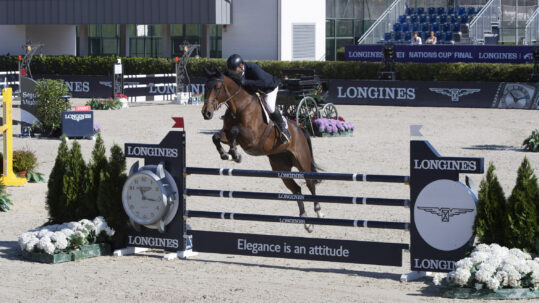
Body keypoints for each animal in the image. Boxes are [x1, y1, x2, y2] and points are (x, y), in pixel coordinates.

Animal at [201, 69, 322, 233]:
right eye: (205, 87)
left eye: (218, 88)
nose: (206, 113)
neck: (239, 107)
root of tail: (301, 130)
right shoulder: (227, 134)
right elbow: (217, 137)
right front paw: (227, 154)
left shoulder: (251, 137)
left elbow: (235, 130)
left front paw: (235, 154)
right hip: (281, 168)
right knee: (296, 190)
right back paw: (306, 222)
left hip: (302, 163)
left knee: (310, 184)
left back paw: (318, 212)